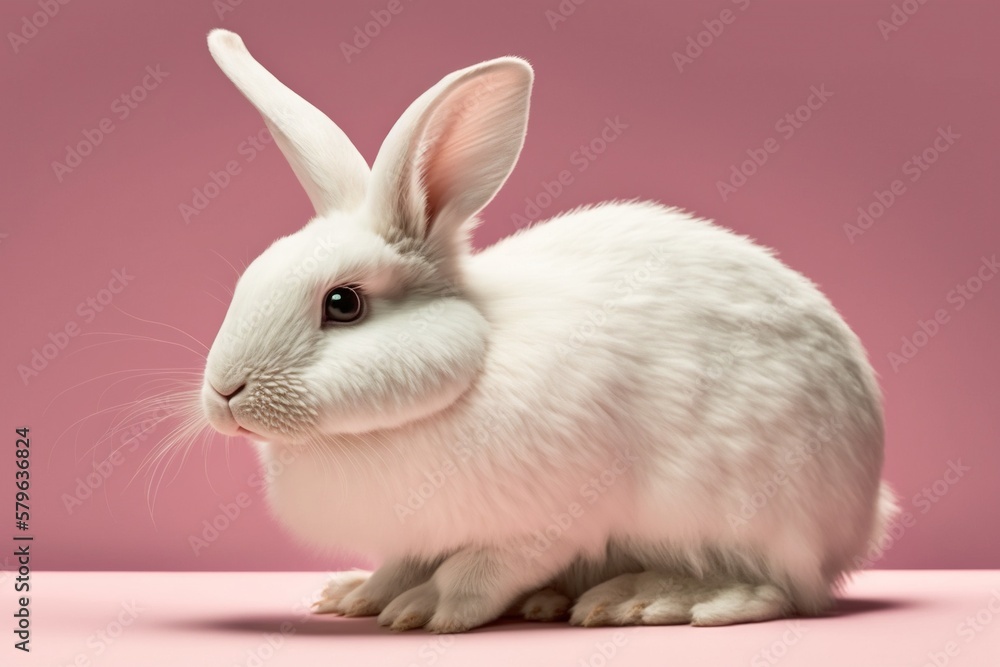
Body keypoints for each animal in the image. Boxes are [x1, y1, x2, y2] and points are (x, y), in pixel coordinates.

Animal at [203, 30, 900, 632]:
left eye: (343, 304)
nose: (224, 393)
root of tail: (862, 519)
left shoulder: (546, 523)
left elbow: (479, 571)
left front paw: (427, 611)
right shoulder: (417, 537)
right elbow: (400, 564)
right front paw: (361, 596)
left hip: (745, 513)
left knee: (777, 590)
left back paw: (645, 600)